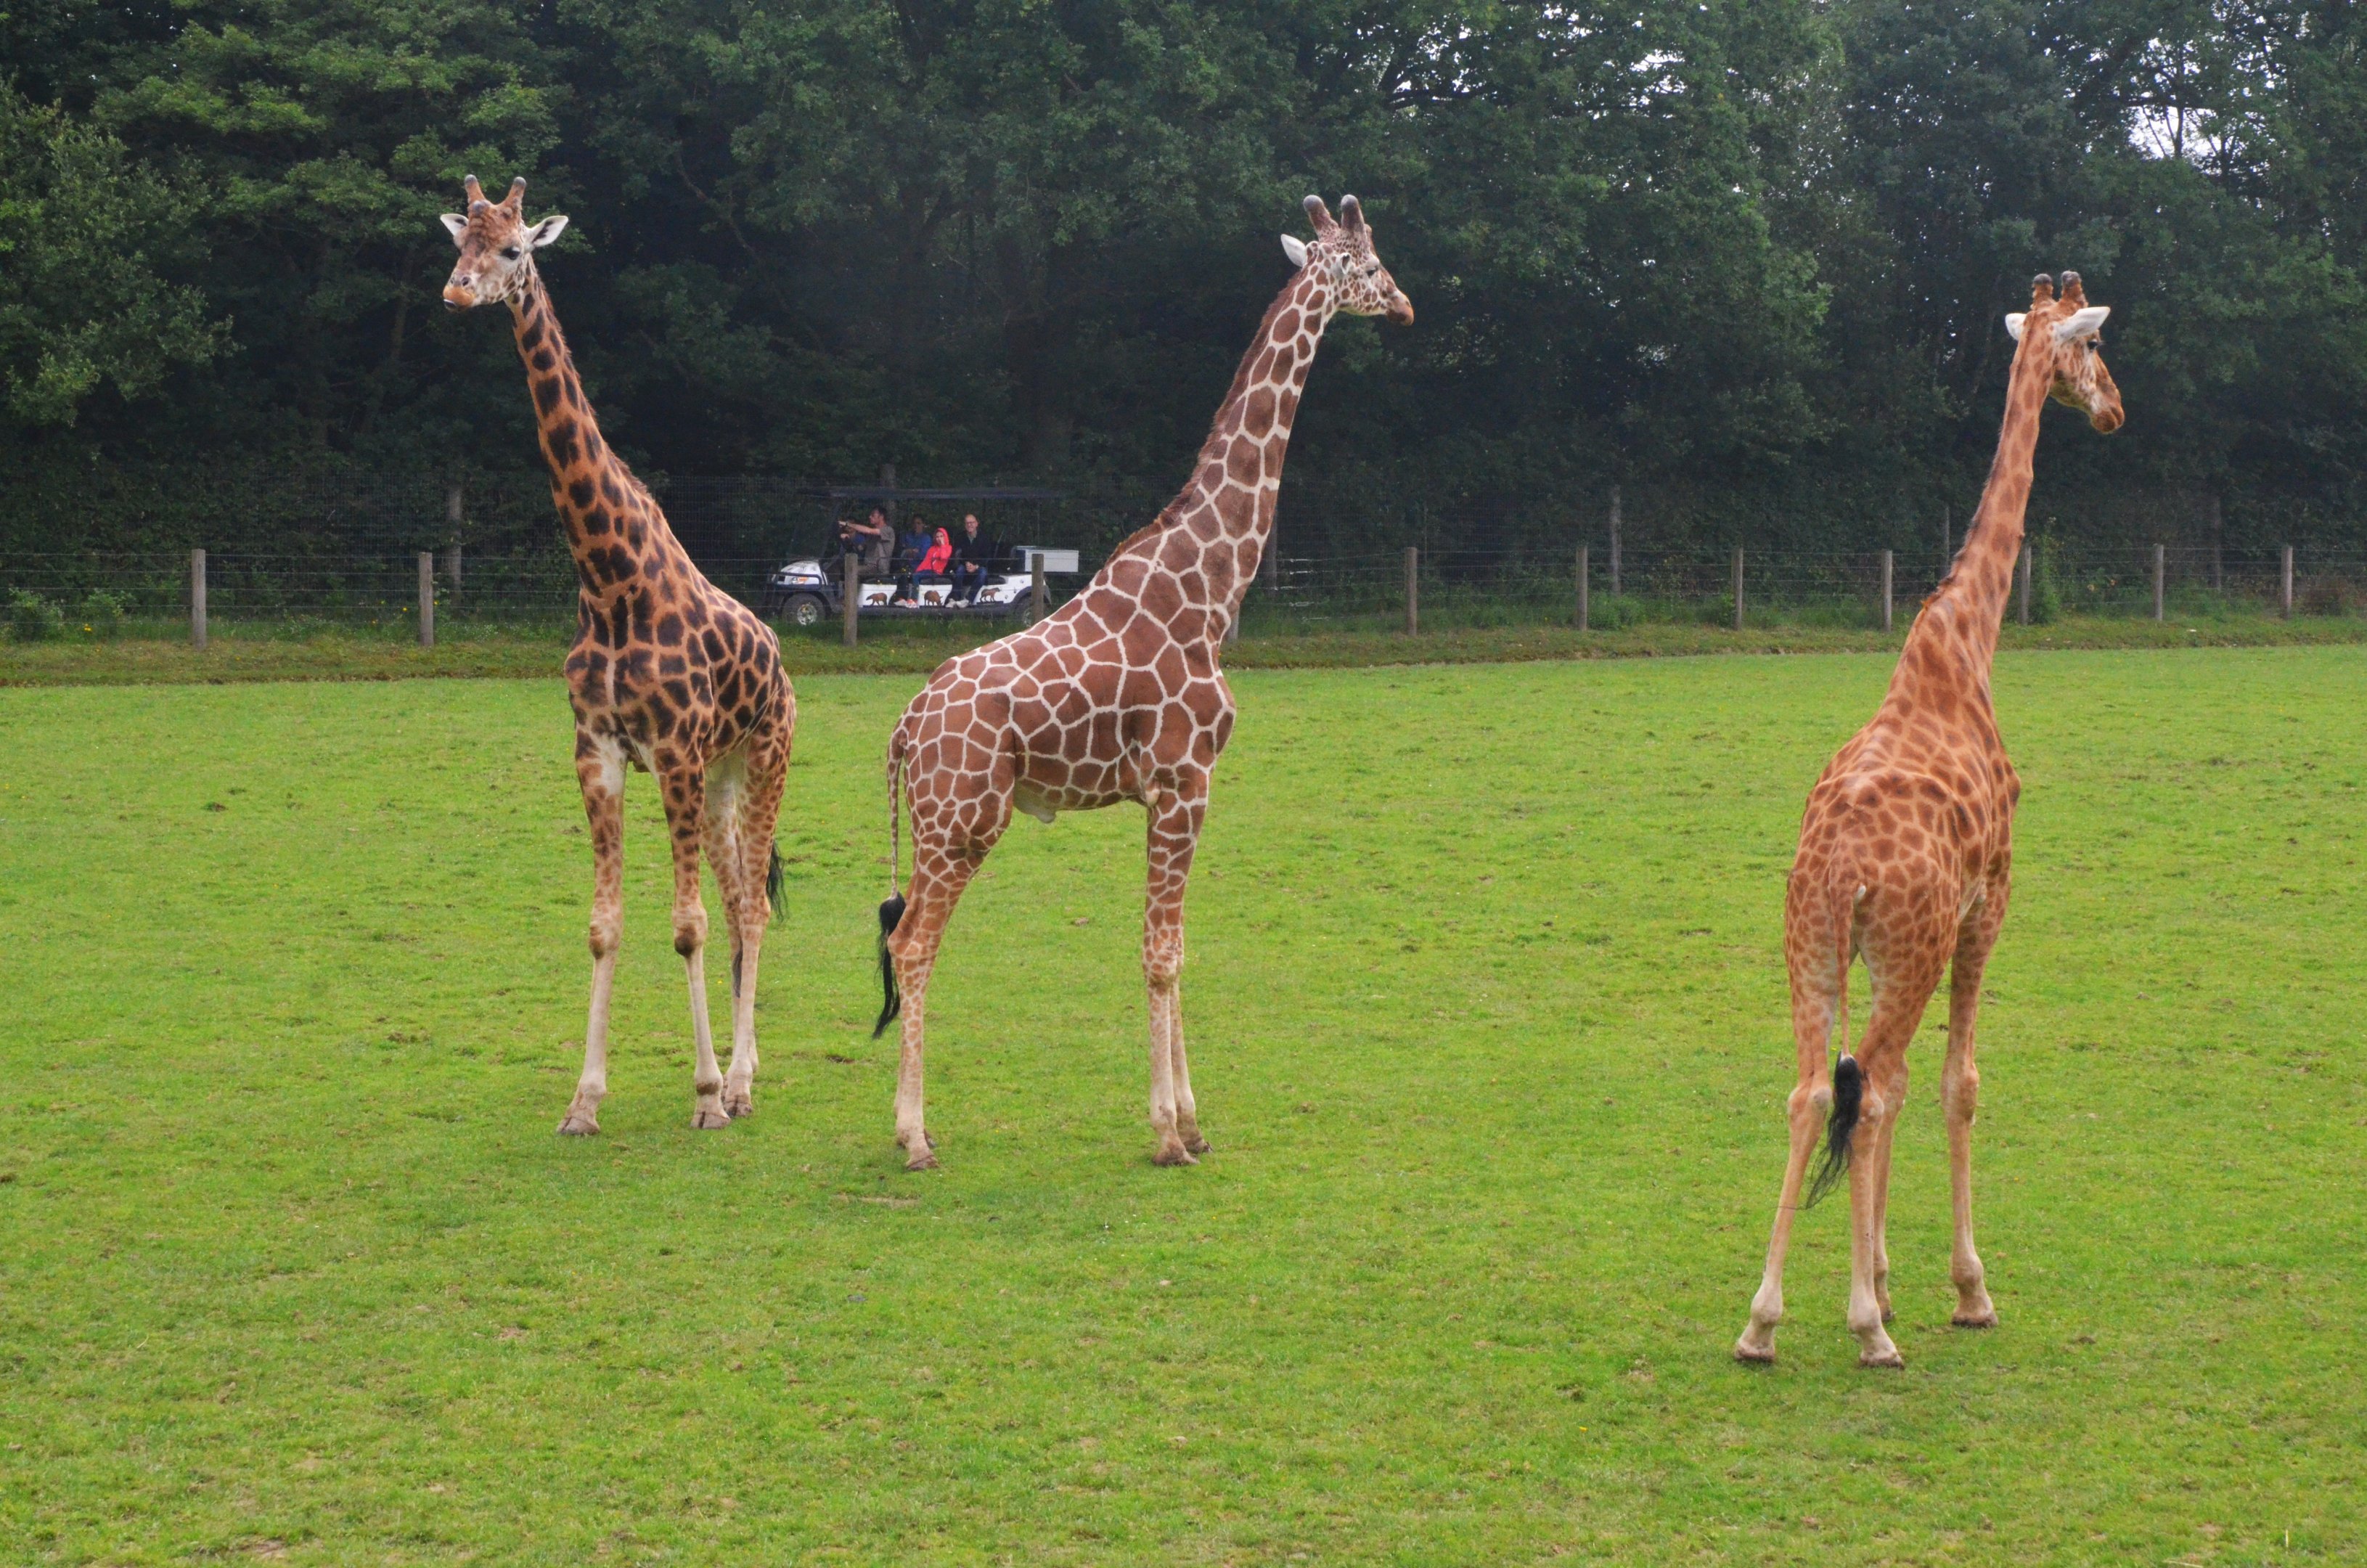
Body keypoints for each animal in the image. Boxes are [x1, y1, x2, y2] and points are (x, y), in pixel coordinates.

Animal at [439, 176, 795, 1135]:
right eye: (458, 242)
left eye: (514, 248)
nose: (457, 294)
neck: (605, 577)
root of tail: (783, 661)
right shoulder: (598, 751)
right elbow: (606, 926)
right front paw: (584, 1101)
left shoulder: (670, 750)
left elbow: (687, 925)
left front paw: (705, 1096)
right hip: (720, 776)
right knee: (742, 900)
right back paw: (745, 1073)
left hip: (764, 758)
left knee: (751, 909)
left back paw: (740, 1086)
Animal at [868, 195, 1413, 1170]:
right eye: (1366, 262)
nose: (1407, 304)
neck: (1210, 588)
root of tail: (905, 725)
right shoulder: (1183, 779)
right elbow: (1161, 953)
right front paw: (1165, 1133)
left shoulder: (1175, 790)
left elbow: (1177, 946)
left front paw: (1193, 1124)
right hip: (964, 819)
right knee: (915, 941)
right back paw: (915, 1137)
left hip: (944, 822)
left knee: (905, 936)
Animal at [1736, 272, 2122, 1367]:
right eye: (2093, 351)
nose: (2116, 410)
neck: (1968, 641)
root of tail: (1839, 871)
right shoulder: (1989, 902)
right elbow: (1957, 1084)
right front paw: (1959, 1289)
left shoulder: (1888, 946)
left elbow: (1895, 1087)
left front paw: (1880, 1276)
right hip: (1907, 948)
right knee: (1866, 1091)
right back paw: (1866, 1333)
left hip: (1813, 946)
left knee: (1815, 1088)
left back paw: (1763, 1322)